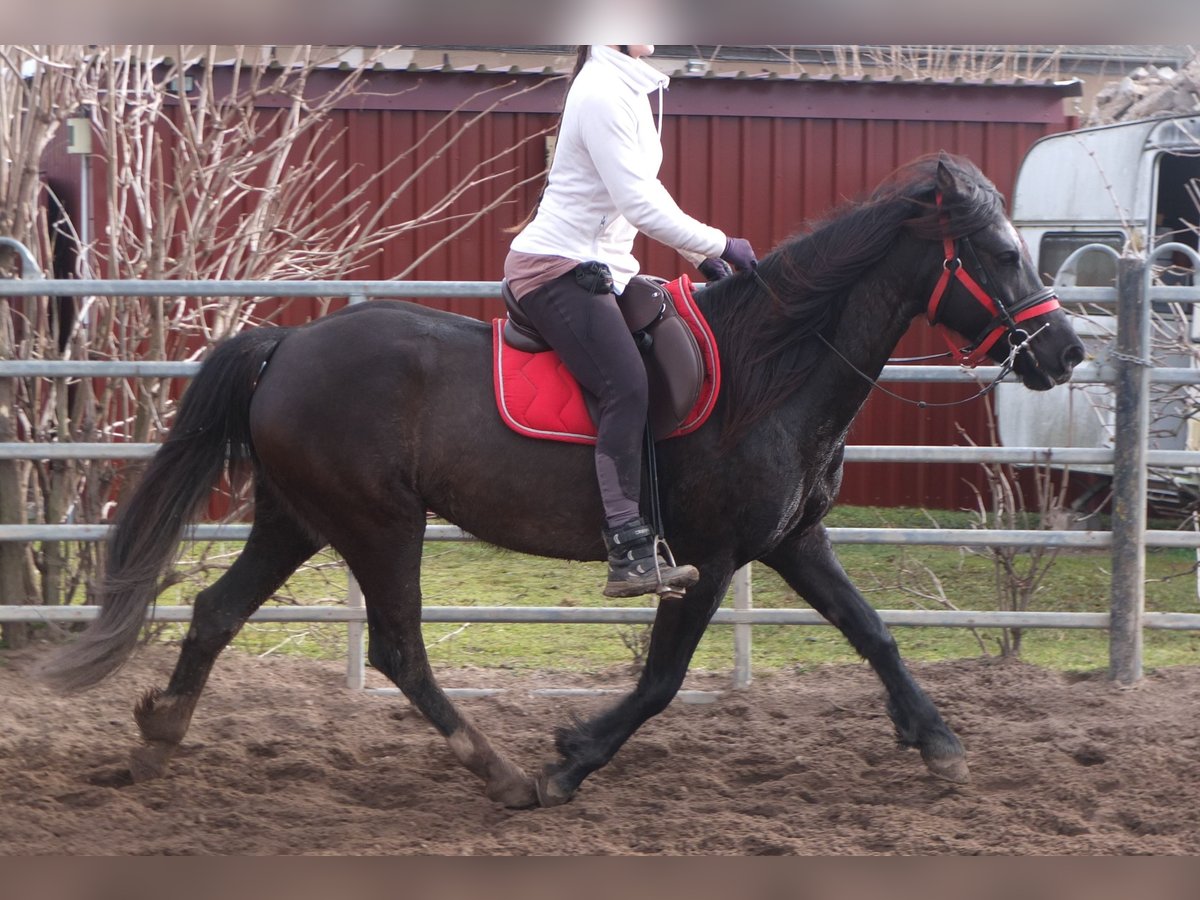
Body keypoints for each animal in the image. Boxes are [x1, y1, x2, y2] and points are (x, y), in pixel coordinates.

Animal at [44, 153, 1089, 811]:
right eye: (1001, 252)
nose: (1067, 352)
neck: (774, 367)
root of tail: (287, 344)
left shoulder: (792, 541)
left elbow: (873, 632)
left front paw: (940, 744)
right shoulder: (707, 559)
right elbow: (662, 680)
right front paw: (570, 761)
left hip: (297, 518)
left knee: (218, 612)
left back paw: (158, 738)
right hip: (380, 525)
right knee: (398, 651)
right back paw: (503, 776)